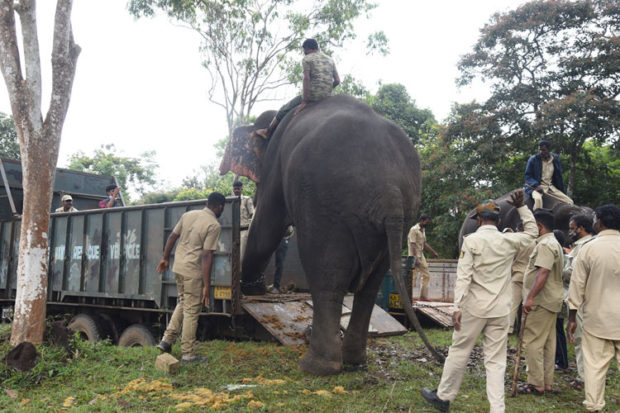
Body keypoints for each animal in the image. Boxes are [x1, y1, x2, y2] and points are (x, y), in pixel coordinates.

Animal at [220, 93, 444, 374]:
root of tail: (390, 189)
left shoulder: (274, 160)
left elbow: (267, 224)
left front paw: (253, 289)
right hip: (402, 212)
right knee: (368, 289)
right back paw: (354, 361)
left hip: (325, 204)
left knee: (326, 275)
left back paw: (315, 367)